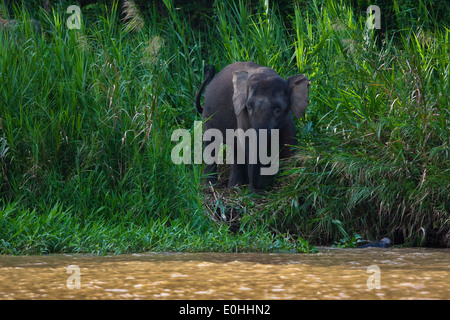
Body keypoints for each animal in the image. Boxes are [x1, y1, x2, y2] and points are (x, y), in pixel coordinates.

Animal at [195, 61, 312, 192]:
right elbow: (249, 145)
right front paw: (256, 192)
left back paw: (234, 188)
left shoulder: (287, 117)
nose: (259, 188)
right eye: (249, 107)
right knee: (211, 142)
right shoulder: (241, 111)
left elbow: (289, 143)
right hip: (207, 115)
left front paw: (288, 182)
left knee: (235, 147)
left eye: (278, 110)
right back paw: (214, 187)